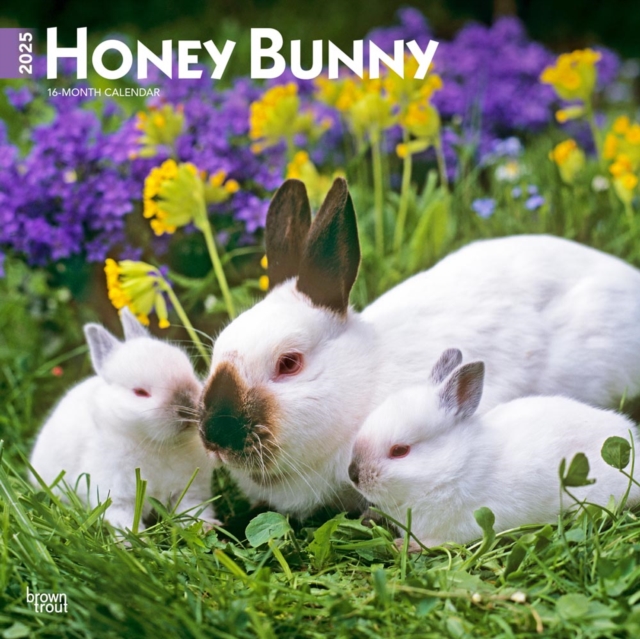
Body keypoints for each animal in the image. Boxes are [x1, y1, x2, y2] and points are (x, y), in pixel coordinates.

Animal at [30, 308, 219, 532]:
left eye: (190, 370)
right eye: (140, 392)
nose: (187, 408)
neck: (157, 445)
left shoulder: (190, 490)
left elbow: (194, 510)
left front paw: (207, 527)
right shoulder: (116, 498)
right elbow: (125, 523)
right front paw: (137, 540)